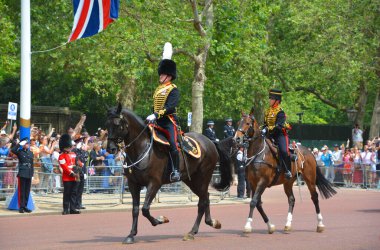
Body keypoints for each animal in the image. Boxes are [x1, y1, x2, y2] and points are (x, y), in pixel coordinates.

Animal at [105, 104, 233, 244]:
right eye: (107, 124)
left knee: (203, 201)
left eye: (118, 124)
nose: (110, 148)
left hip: (203, 177)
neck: (142, 148)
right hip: (192, 180)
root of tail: (210, 142)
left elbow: (145, 209)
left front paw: (160, 220)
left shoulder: (154, 183)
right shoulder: (134, 184)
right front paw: (131, 235)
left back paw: (193, 231)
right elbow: (135, 209)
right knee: (206, 197)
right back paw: (210, 223)